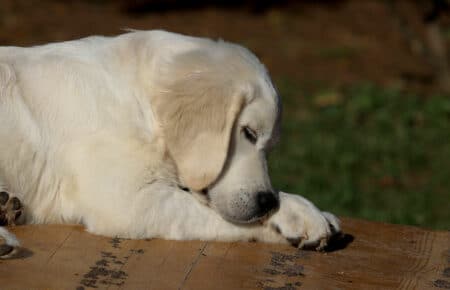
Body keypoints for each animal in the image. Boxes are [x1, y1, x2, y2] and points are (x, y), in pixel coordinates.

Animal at [0, 30, 340, 258]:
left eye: (269, 147)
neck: (141, 102)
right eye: (248, 133)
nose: (266, 201)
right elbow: (214, 215)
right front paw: (297, 214)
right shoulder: (129, 203)